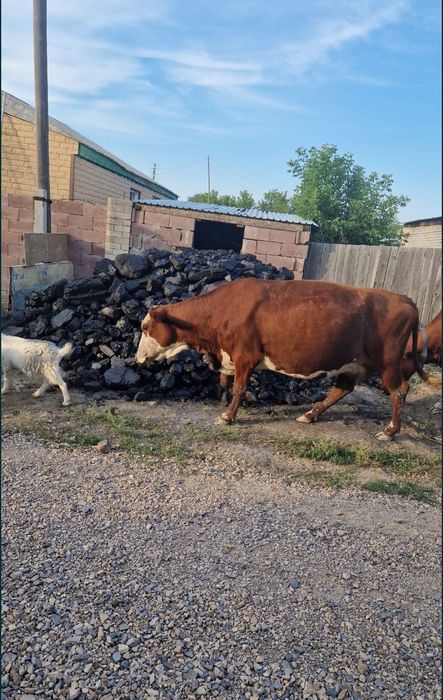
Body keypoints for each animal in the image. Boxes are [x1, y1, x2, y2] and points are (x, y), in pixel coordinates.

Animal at [135, 279, 438, 440]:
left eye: (145, 327)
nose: (137, 357)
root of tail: (404, 299)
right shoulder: (231, 357)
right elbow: (226, 382)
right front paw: (239, 403)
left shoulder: (245, 354)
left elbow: (238, 387)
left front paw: (228, 416)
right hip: (352, 363)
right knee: (343, 389)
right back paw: (310, 414)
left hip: (388, 363)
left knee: (399, 390)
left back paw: (390, 430)